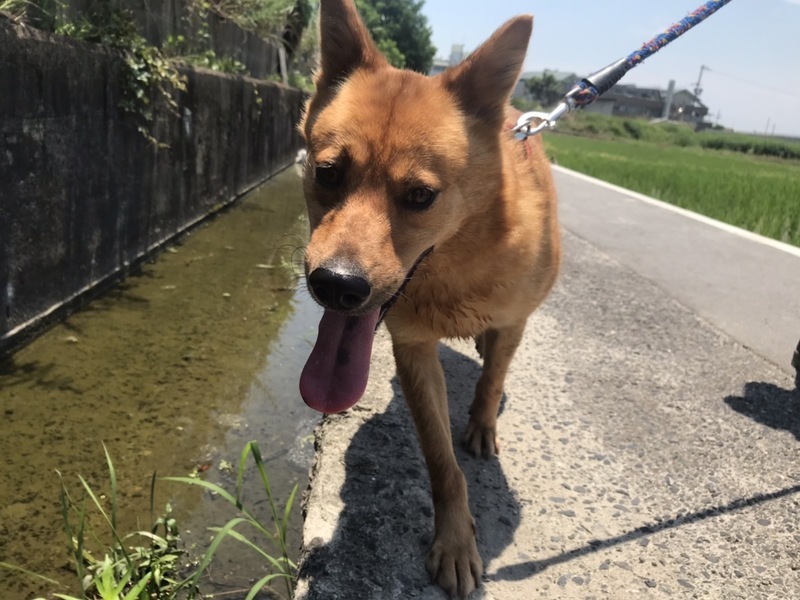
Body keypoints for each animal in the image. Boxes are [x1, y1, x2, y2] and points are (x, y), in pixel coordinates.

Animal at [298, 1, 560, 597]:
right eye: (327, 172)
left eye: (421, 195)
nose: (336, 285)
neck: (450, 270)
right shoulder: (414, 349)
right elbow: (441, 461)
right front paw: (457, 540)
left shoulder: (514, 320)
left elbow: (492, 380)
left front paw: (481, 423)